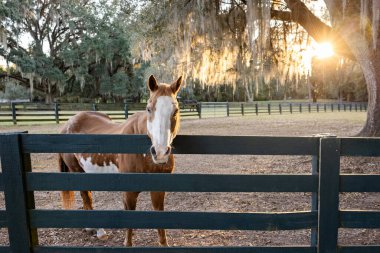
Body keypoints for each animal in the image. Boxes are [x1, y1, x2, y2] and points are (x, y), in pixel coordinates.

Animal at [58, 74, 183, 245]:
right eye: (149, 109)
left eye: (176, 110)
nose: (160, 152)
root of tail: (68, 124)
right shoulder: (129, 192)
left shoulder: (158, 190)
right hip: (77, 171)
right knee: (86, 196)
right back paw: (99, 231)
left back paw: (90, 227)